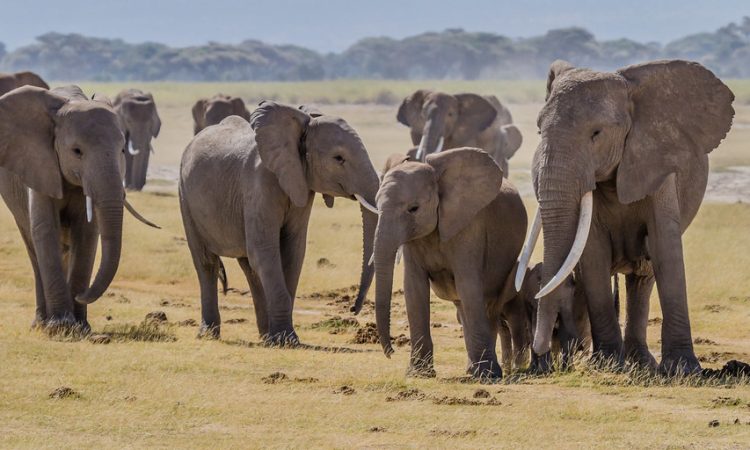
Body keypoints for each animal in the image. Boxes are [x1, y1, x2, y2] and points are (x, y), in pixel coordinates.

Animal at [0, 85, 157, 330]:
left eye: (122, 150)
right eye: (76, 151)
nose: (81, 295)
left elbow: (87, 232)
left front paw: (80, 327)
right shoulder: (40, 165)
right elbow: (45, 228)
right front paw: (61, 326)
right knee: (33, 245)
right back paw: (41, 324)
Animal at [179, 101, 380, 343]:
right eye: (338, 158)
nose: (352, 309)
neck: (302, 124)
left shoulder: (301, 183)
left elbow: (292, 252)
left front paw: (281, 338)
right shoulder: (259, 183)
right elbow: (265, 250)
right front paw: (287, 340)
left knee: (249, 267)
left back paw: (265, 335)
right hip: (185, 197)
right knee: (207, 262)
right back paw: (209, 334)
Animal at [373, 147, 526, 379]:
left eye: (414, 208)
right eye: (376, 204)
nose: (391, 352)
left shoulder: (469, 227)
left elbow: (468, 285)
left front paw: (487, 375)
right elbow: (414, 288)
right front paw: (419, 374)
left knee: (488, 306)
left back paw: (482, 371)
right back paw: (471, 369)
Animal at [515, 59, 734, 374]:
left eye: (596, 133)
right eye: (538, 131)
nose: (540, 349)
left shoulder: (658, 166)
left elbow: (665, 248)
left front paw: (682, 369)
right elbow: (593, 252)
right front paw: (607, 365)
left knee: (643, 276)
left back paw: (642, 363)